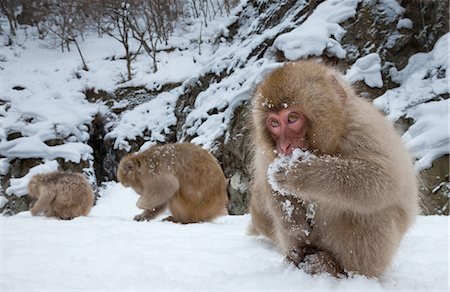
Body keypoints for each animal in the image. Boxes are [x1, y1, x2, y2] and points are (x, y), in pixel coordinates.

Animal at [248, 60, 420, 278]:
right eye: (274, 123)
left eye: (292, 118)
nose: (285, 146)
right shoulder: (266, 154)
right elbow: (268, 184)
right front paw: (294, 222)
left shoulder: (363, 127)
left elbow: (383, 178)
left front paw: (298, 173)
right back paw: (296, 256)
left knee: (373, 211)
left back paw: (333, 267)